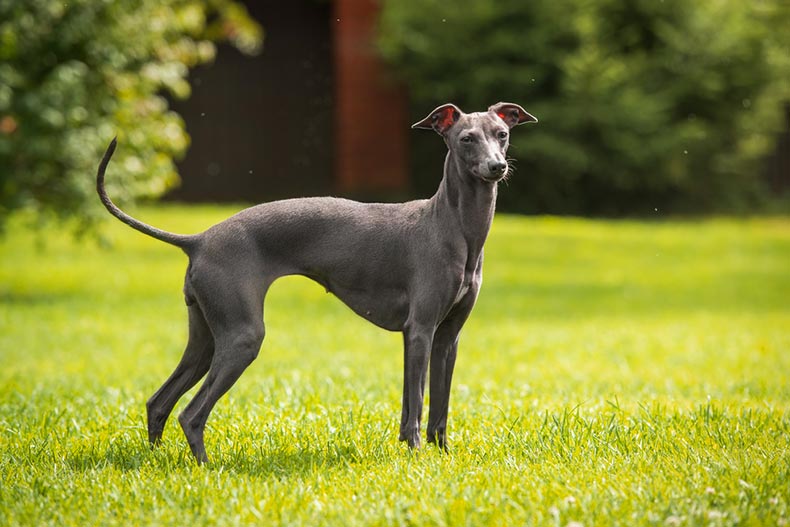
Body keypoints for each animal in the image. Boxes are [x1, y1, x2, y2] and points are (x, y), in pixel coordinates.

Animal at [94, 101, 540, 464]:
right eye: (466, 139)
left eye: (502, 134)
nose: (497, 167)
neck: (453, 228)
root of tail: (199, 239)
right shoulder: (420, 331)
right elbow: (415, 403)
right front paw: (416, 454)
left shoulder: (447, 337)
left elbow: (437, 407)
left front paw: (442, 455)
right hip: (242, 337)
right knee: (191, 413)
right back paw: (206, 467)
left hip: (205, 338)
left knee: (159, 402)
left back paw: (157, 460)